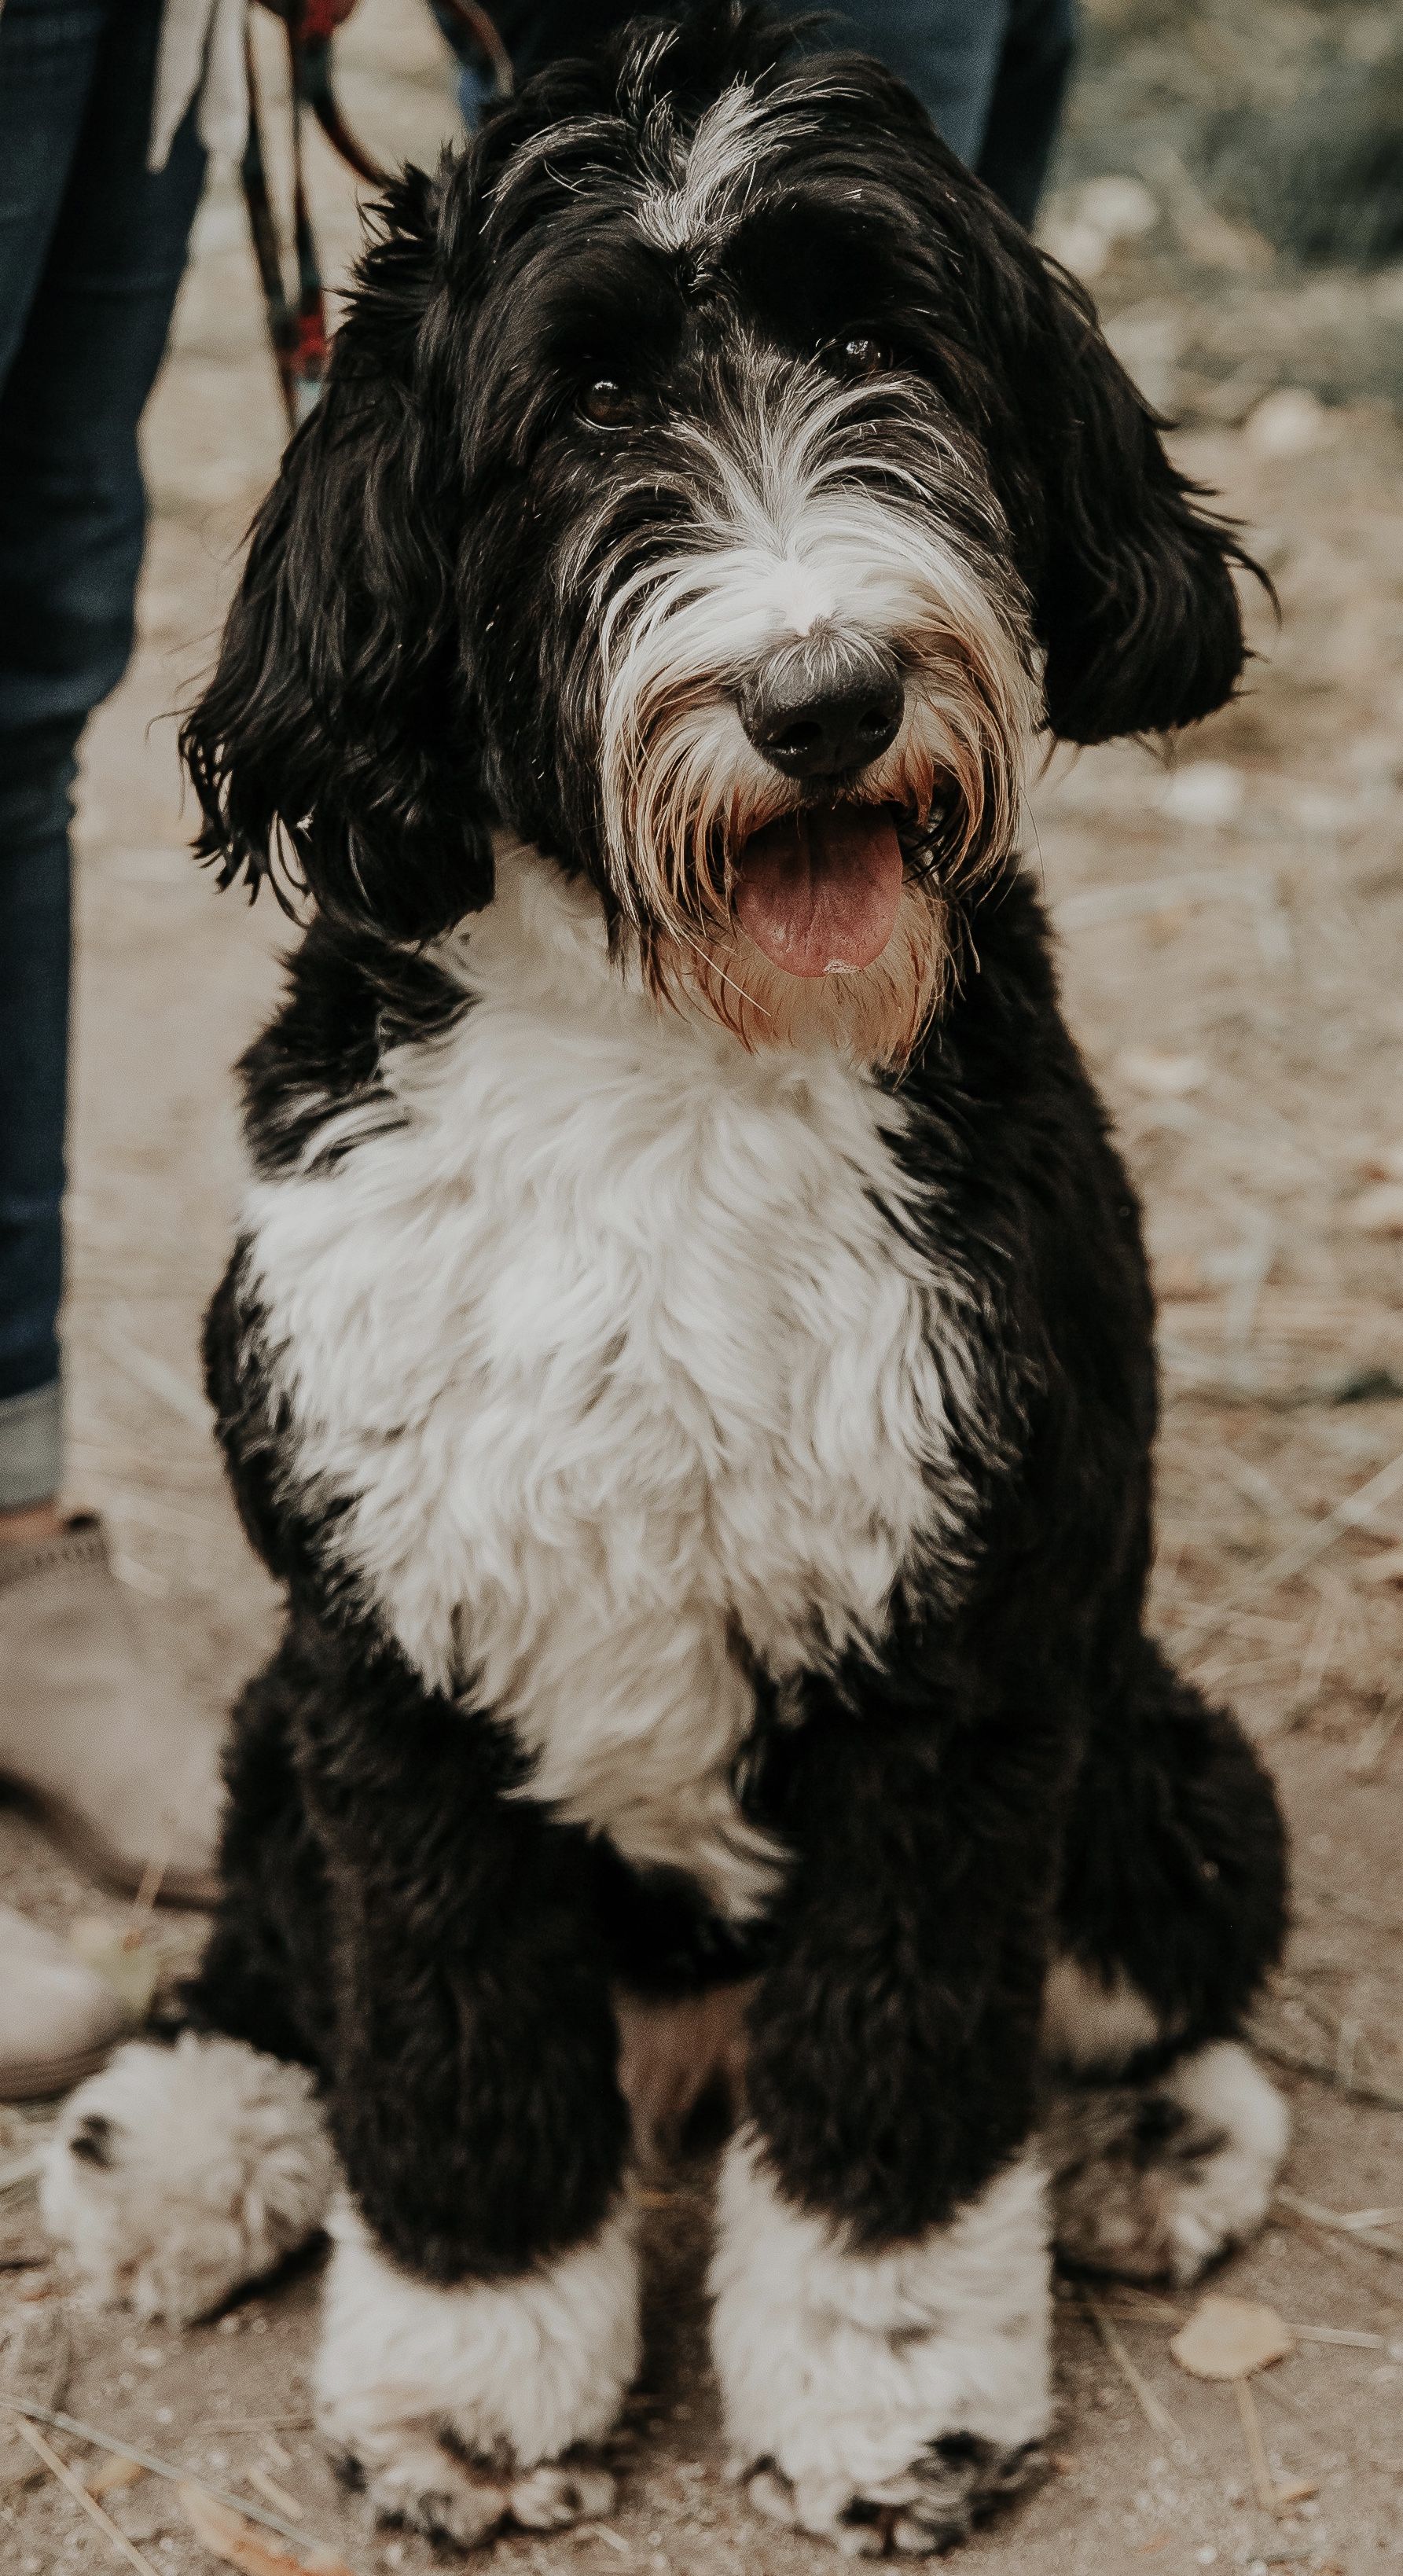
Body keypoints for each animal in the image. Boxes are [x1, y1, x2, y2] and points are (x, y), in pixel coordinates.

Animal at [43, 9, 1292, 2555]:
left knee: (1140, 1972)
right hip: (274, 1738)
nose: (821, 694)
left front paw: (891, 2400)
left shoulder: (961, 1671)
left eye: (885, 348)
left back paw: (1148, 2138)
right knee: (283, 1968)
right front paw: (463, 2383)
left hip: (1153, 1755)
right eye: (584, 405)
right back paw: (187, 2137)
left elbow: (903, 2086)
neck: (672, 1063)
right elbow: (444, 2068)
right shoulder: (392, 1671)